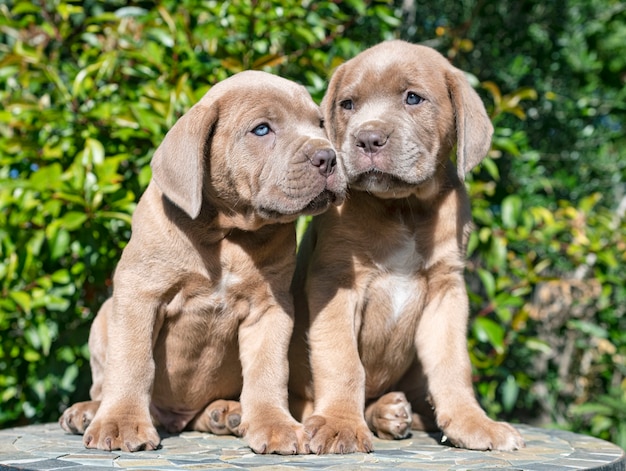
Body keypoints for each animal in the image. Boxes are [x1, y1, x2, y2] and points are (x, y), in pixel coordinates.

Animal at [59, 69, 344, 454]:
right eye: (262, 129)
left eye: (320, 124)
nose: (328, 157)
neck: (225, 233)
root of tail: (175, 418)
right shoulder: (139, 293)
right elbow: (133, 361)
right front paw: (120, 423)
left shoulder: (270, 308)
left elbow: (268, 371)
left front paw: (275, 426)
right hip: (104, 317)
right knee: (105, 384)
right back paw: (89, 412)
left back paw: (226, 413)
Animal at [290, 39, 524, 454]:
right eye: (347, 104)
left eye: (413, 98)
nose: (367, 139)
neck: (403, 208)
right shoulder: (335, 281)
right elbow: (342, 360)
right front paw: (340, 424)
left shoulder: (447, 290)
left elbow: (453, 365)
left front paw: (473, 423)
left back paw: (392, 413)